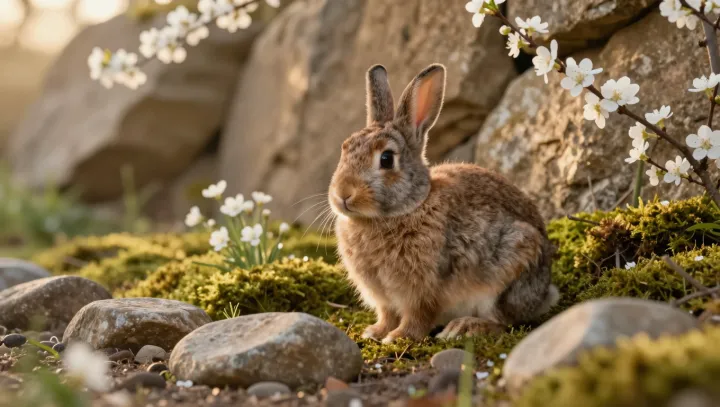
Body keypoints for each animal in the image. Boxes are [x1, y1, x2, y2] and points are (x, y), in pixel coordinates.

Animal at [328, 63, 559, 344]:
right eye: (345, 148)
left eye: (386, 159)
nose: (342, 194)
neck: (405, 209)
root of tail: (543, 293)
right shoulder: (385, 299)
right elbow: (387, 314)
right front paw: (375, 332)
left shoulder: (423, 290)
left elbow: (418, 316)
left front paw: (399, 337)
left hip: (511, 268)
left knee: (504, 321)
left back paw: (464, 327)